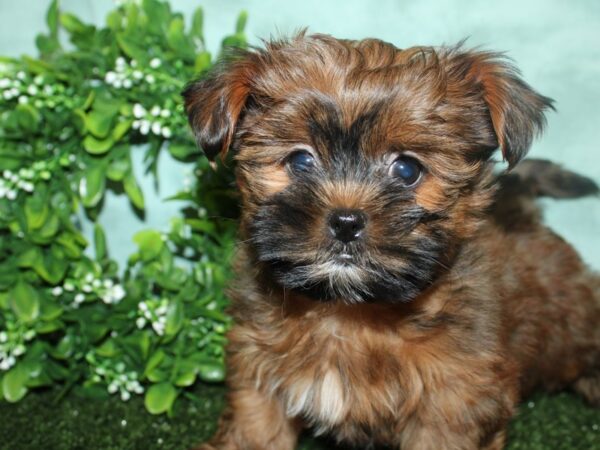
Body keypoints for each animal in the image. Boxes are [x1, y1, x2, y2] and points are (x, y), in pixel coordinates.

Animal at [183, 33, 600, 448]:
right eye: (300, 161)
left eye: (407, 169)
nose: (346, 221)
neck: (346, 312)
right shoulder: (259, 370)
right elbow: (254, 429)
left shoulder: (455, 399)